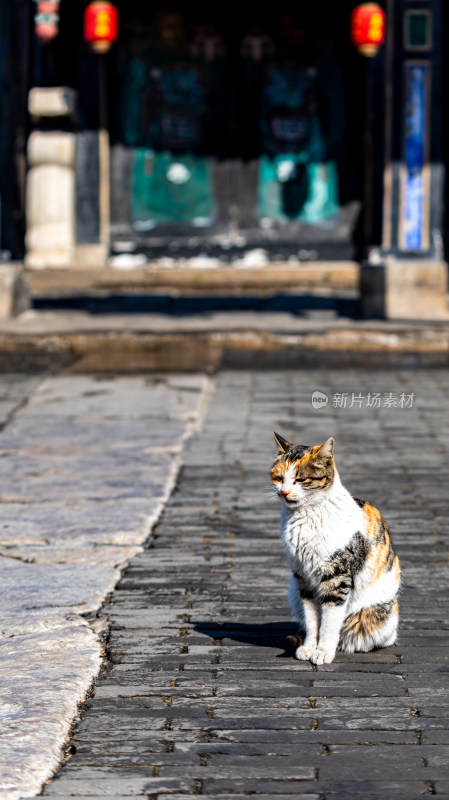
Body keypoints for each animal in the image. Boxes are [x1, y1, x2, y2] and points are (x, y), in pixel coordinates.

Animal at [270, 434, 400, 664]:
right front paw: (309, 648)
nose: (284, 492)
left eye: (300, 479)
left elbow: (329, 621)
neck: (304, 516)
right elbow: (313, 620)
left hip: (373, 618)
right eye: (278, 477)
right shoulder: (303, 578)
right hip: (293, 591)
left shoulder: (336, 577)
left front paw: (322, 652)